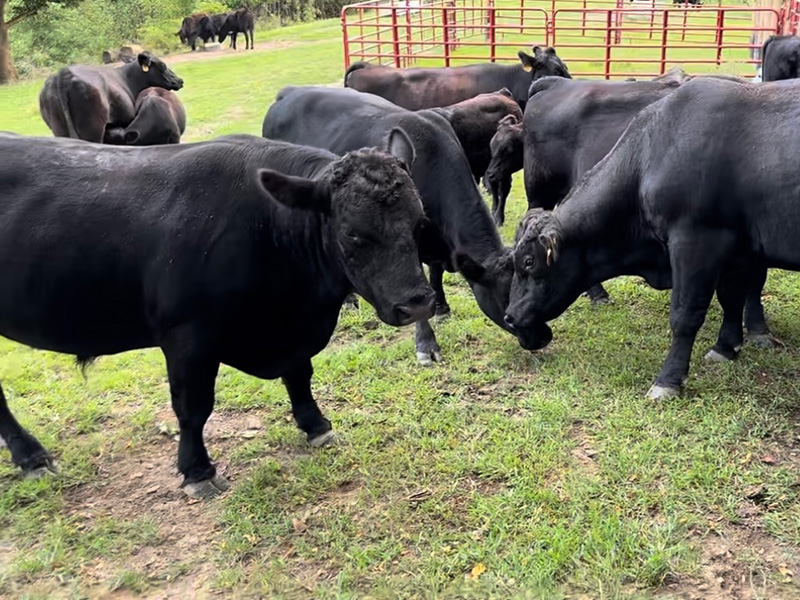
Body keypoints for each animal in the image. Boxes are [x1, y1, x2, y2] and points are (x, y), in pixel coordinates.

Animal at [0, 131, 435, 498]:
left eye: (420, 223)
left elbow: (299, 375)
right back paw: (32, 457)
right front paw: (197, 471)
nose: (416, 302)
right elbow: (193, 407)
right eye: (352, 233)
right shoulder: (187, 337)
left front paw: (316, 426)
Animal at [39, 52, 183, 144]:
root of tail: (63, 74)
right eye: (163, 65)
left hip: (58, 128)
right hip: (92, 128)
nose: (180, 80)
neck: (128, 78)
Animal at [263, 86, 516, 365]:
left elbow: (435, 274)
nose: (535, 339)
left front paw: (441, 307)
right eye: (506, 302)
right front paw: (426, 343)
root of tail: (289, 91)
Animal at [503, 78, 797, 400]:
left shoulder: (698, 242)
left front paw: (669, 379)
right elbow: (732, 296)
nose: (509, 317)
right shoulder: (738, 249)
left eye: (528, 262)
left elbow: (687, 312)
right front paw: (726, 347)